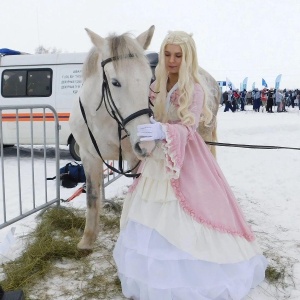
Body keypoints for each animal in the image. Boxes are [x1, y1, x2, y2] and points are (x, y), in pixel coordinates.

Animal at [69, 26, 220, 251]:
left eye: (149, 79)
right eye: (115, 82)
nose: (147, 144)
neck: (103, 120)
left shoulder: (134, 158)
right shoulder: (90, 157)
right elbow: (92, 196)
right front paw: (87, 240)